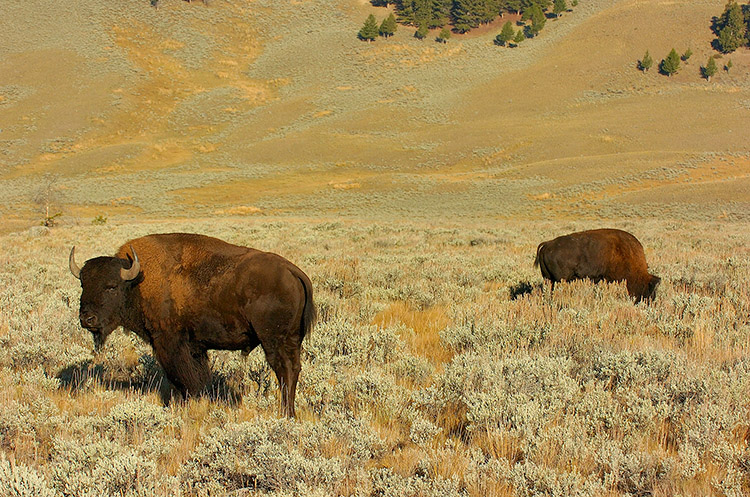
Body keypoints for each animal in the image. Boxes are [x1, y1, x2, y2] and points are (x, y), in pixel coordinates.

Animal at [69, 232, 316, 414]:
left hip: (274, 340)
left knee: (284, 370)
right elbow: (197, 375)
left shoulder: (168, 342)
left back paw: (284, 413)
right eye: (83, 284)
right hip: (292, 339)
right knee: (293, 369)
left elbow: (181, 376)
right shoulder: (195, 347)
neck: (138, 282)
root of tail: (293, 271)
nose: (87, 319)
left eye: (111, 286)